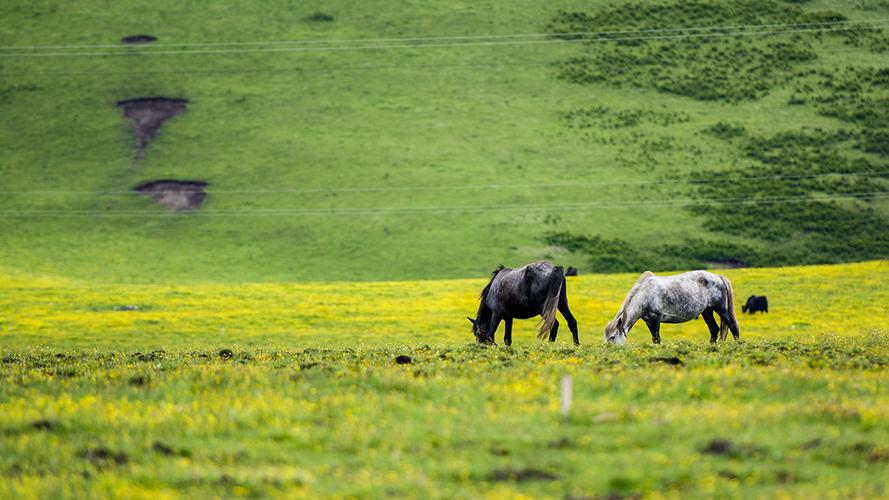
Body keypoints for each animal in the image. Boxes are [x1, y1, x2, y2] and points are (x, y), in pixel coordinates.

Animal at [604, 270, 744, 344]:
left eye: (612, 337)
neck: (645, 293)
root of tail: (718, 277)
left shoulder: (656, 318)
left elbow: (657, 339)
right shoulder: (648, 320)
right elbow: (654, 338)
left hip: (721, 309)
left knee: (732, 325)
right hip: (707, 311)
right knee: (714, 329)